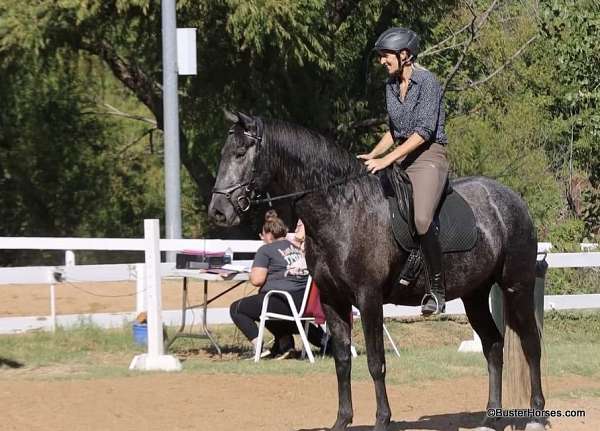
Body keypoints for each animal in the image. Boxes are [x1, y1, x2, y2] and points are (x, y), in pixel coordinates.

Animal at [209, 111, 548, 431]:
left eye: (240, 153)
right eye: (223, 153)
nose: (218, 212)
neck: (341, 209)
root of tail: (511, 199)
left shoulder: (369, 299)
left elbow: (375, 362)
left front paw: (382, 420)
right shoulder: (333, 300)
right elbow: (342, 360)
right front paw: (342, 420)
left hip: (516, 287)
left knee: (531, 343)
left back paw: (536, 415)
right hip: (475, 296)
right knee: (493, 346)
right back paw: (491, 418)